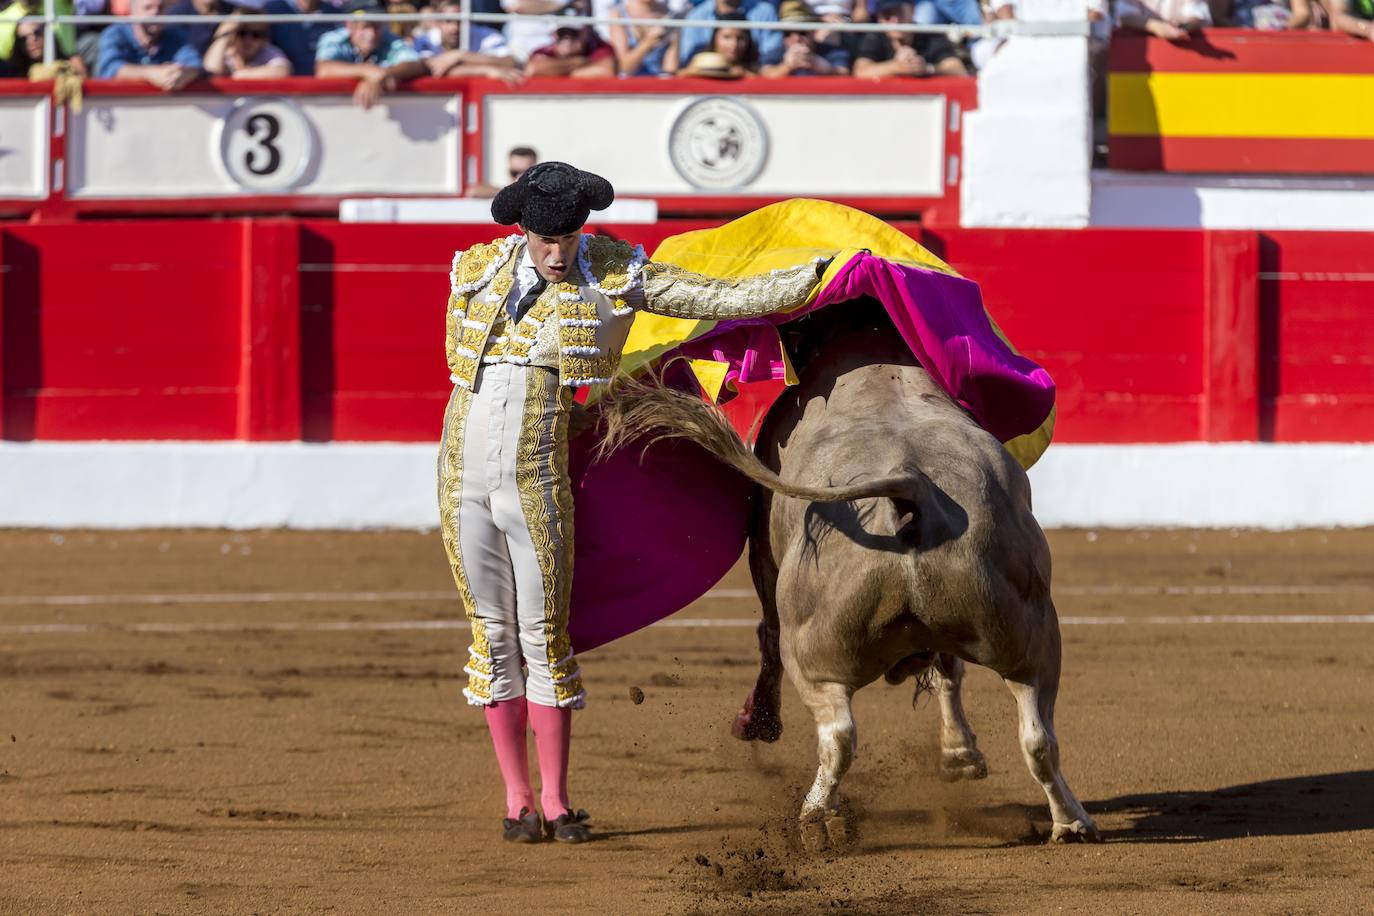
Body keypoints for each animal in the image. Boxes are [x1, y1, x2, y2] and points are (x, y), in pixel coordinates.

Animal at [601, 304, 1093, 856]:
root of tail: (911, 486)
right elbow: (950, 671)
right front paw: (960, 756)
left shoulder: (764, 560)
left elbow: (768, 637)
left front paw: (759, 722)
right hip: (1030, 634)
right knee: (1037, 734)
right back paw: (1071, 822)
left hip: (816, 648)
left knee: (835, 729)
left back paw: (817, 817)